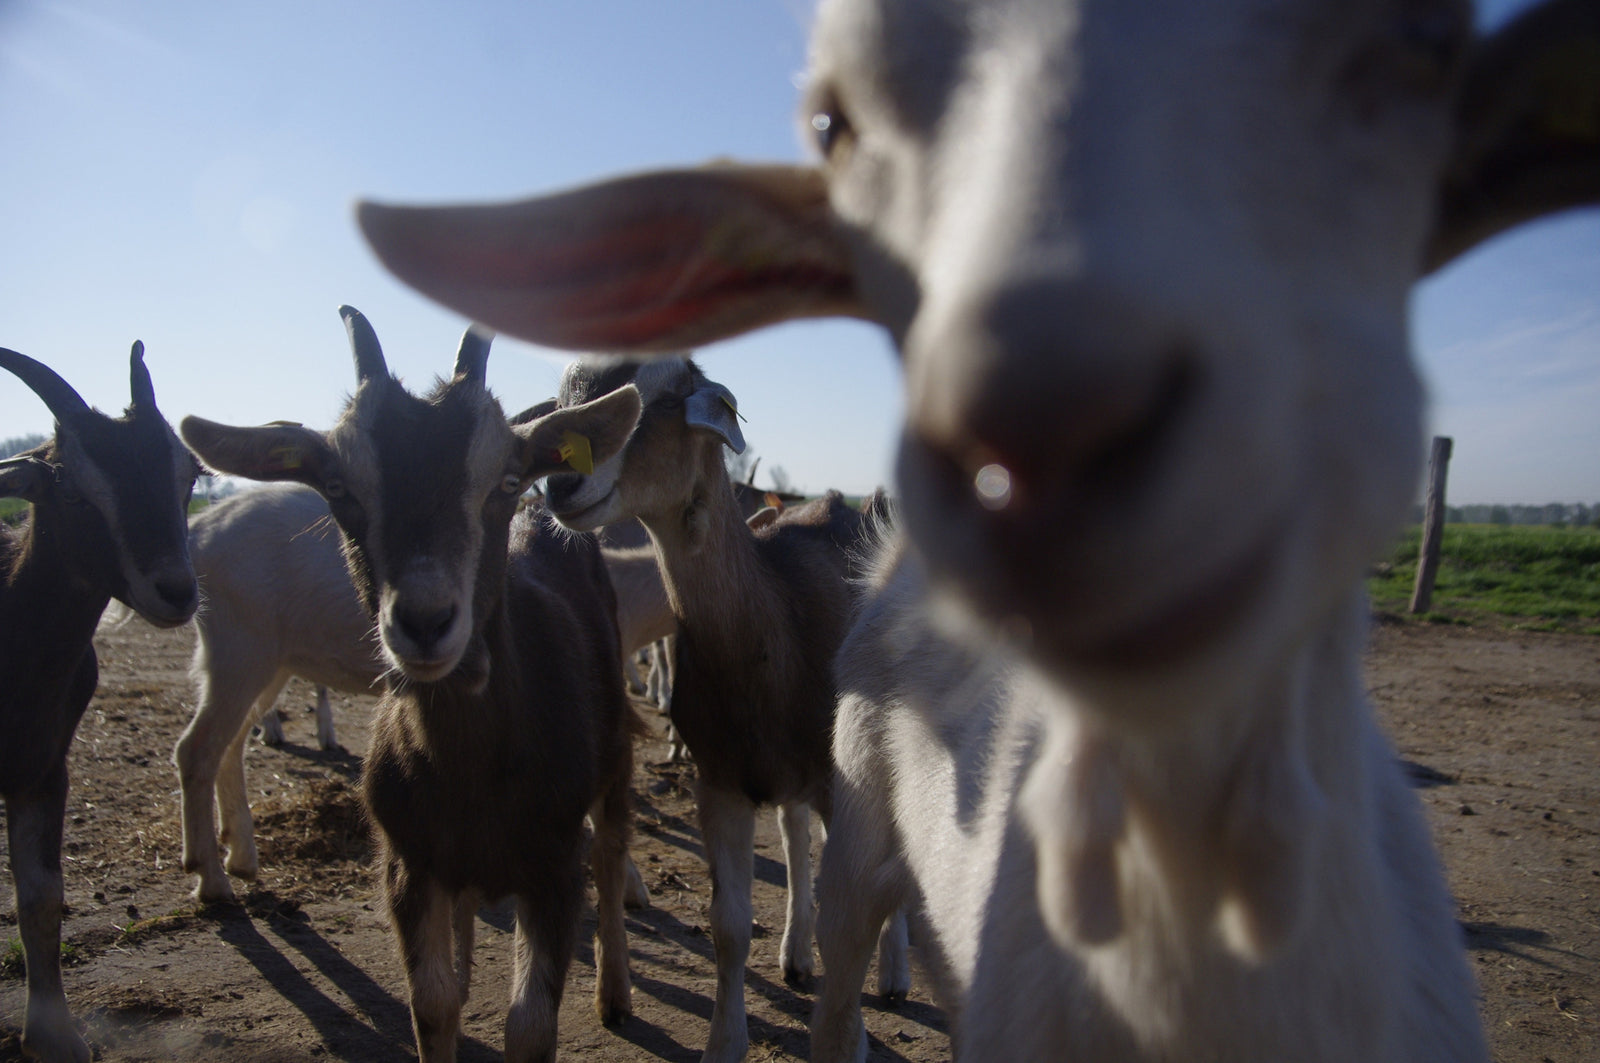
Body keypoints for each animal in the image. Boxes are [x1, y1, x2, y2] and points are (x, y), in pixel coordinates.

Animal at [1, 343, 198, 1063]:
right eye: (69, 489)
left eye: (187, 474)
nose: (175, 589)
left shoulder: (42, 766)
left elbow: (41, 893)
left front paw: (54, 1031)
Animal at [176, 483, 380, 903]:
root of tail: (197, 531)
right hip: (240, 649)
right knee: (197, 748)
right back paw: (211, 880)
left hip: (269, 663)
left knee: (230, 743)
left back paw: (240, 857)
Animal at [539, 357, 909, 1063]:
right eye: (566, 400)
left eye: (656, 400)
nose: (562, 483)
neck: (775, 624)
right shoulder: (720, 780)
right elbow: (729, 926)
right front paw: (725, 1040)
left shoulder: (838, 781)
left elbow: (850, 918)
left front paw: (849, 1037)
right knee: (794, 834)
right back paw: (794, 955)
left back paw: (895, 977)